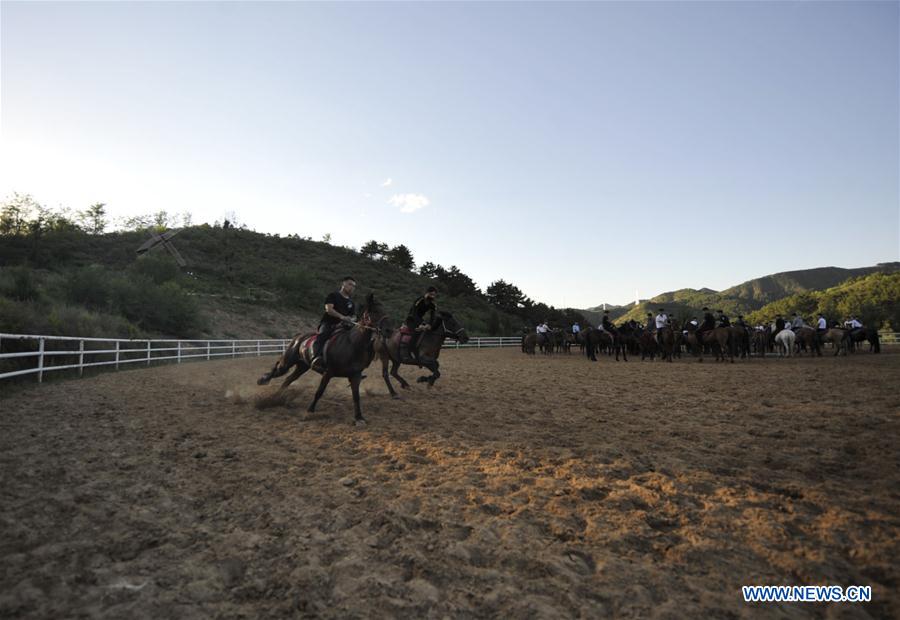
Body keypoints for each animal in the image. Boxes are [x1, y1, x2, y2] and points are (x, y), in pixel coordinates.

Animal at [256, 294, 390, 424]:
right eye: (375, 311)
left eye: (385, 310)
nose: (389, 330)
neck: (352, 344)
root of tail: (298, 337)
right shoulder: (328, 372)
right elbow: (319, 392)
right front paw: (309, 412)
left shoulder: (355, 375)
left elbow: (356, 397)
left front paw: (359, 417)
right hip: (287, 362)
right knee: (277, 371)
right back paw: (263, 381)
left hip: (302, 366)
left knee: (288, 380)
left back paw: (276, 397)